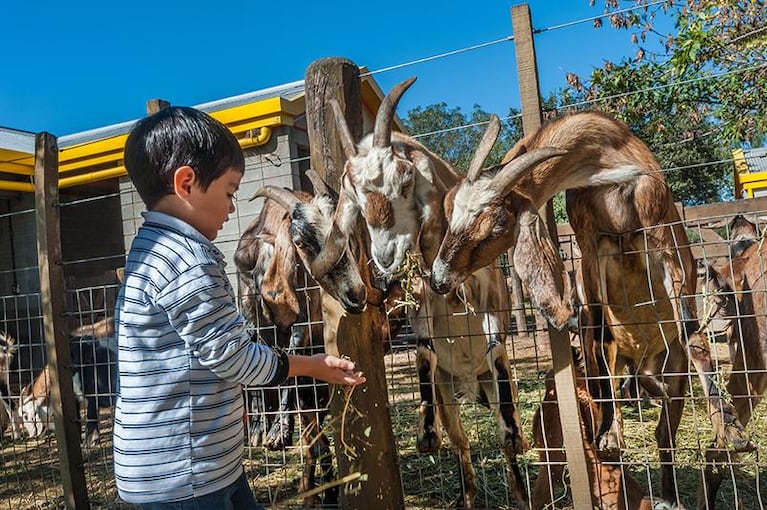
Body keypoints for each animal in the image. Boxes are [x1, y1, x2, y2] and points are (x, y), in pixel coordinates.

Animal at [428, 109, 752, 504]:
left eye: (498, 225)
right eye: (451, 209)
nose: (438, 278)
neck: (609, 161)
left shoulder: (662, 242)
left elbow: (695, 337)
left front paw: (734, 431)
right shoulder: (590, 256)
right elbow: (597, 338)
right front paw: (609, 434)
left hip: (671, 364)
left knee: (665, 429)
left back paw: (669, 487)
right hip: (619, 352)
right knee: (611, 369)